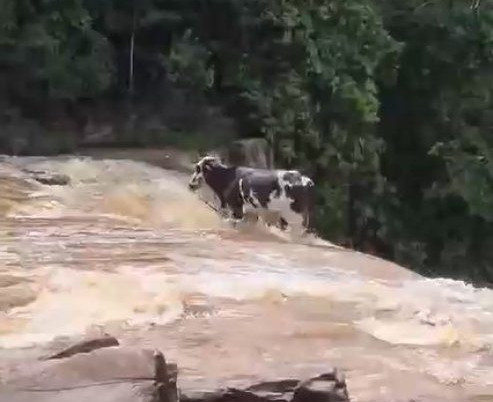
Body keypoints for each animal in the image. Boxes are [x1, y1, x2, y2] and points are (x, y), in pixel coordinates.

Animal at [186, 155, 314, 234]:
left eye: (198, 169)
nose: (190, 185)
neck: (226, 178)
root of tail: (305, 180)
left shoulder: (235, 209)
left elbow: (231, 223)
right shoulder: (251, 213)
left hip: (294, 218)